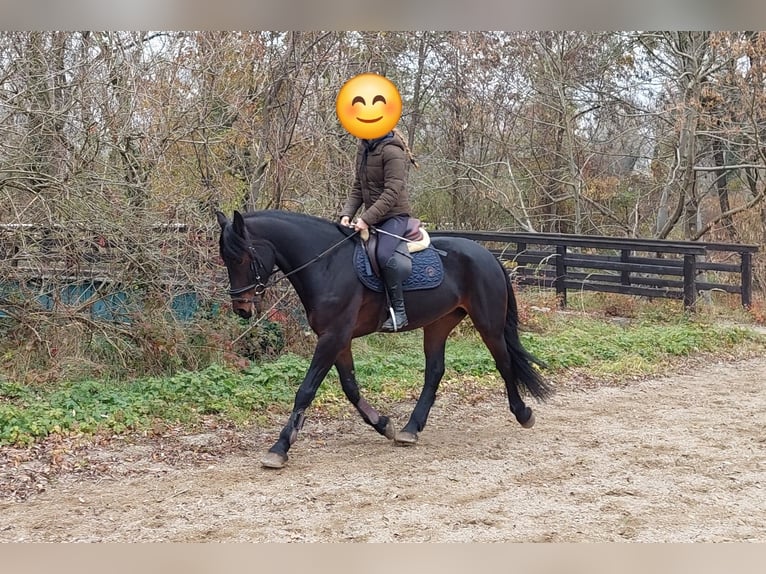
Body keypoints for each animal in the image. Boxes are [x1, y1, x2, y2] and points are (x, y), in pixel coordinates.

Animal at [215, 209, 552, 469]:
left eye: (242, 257)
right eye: (226, 258)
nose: (242, 309)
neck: (326, 264)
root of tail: (488, 255)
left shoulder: (333, 336)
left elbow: (306, 390)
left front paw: (280, 447)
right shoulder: (338, 338)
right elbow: (350, 387)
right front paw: (384, 425)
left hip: (488, 322)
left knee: (504, 362)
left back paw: (523, 413)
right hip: (438, 324)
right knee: (434, 371)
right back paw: (410, 429)